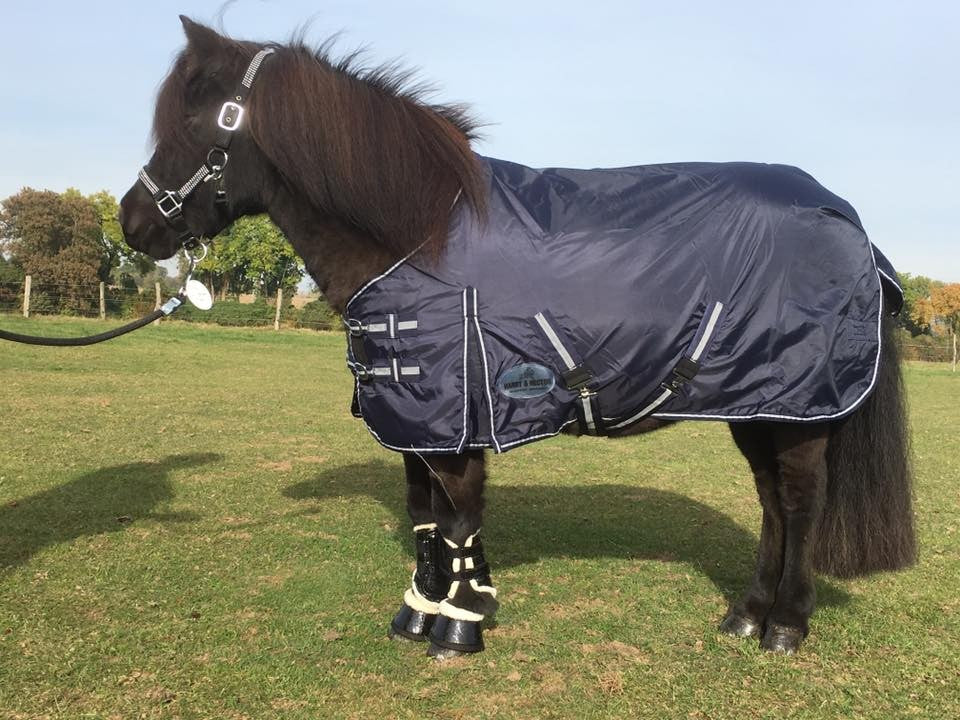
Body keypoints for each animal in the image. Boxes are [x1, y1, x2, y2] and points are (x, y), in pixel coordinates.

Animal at [119, 17, 916, 659]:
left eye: (194, 126)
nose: (132, 223)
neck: (417, 232)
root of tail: (846, 218)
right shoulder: (415, 418)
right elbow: (425, 517)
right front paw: (418, 611)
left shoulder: (458, 418)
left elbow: (460, 516)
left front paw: (460, 624)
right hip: (758, 406)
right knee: (771, 502)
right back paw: (746, 616)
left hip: (800, 411)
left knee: (800, 504)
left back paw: (785, 625)